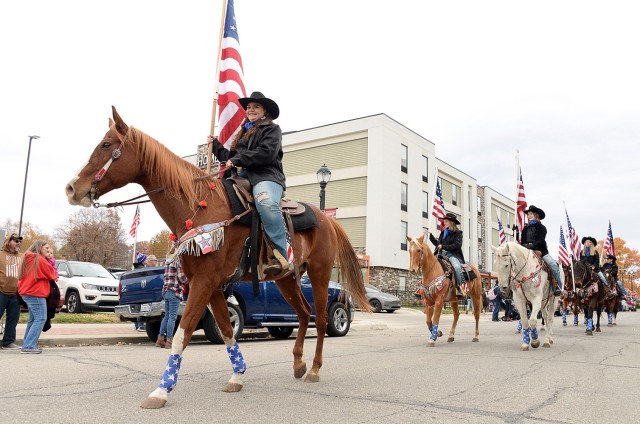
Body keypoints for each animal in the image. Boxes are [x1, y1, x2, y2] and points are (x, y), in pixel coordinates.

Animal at [63, 107, 370, 410]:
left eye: (106, 144)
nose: (71, 188)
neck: (202, 207)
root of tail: (328, 220)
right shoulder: (212, 286)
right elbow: (225, 330)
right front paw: (237, 376)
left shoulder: (205, 282)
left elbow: (182, 333)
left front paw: (162, 390)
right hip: (285, 279)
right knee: (304, 313)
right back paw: (298, 364)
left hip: (319, 272)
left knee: (321, 319)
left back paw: (315, 369)